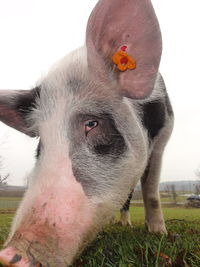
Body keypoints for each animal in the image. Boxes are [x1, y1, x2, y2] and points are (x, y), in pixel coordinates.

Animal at [0, 0, 173, 266]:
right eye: (41, 143)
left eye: (92, 123)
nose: (8, 256)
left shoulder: (162, 137)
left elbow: (152, 191)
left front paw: (158, 233)